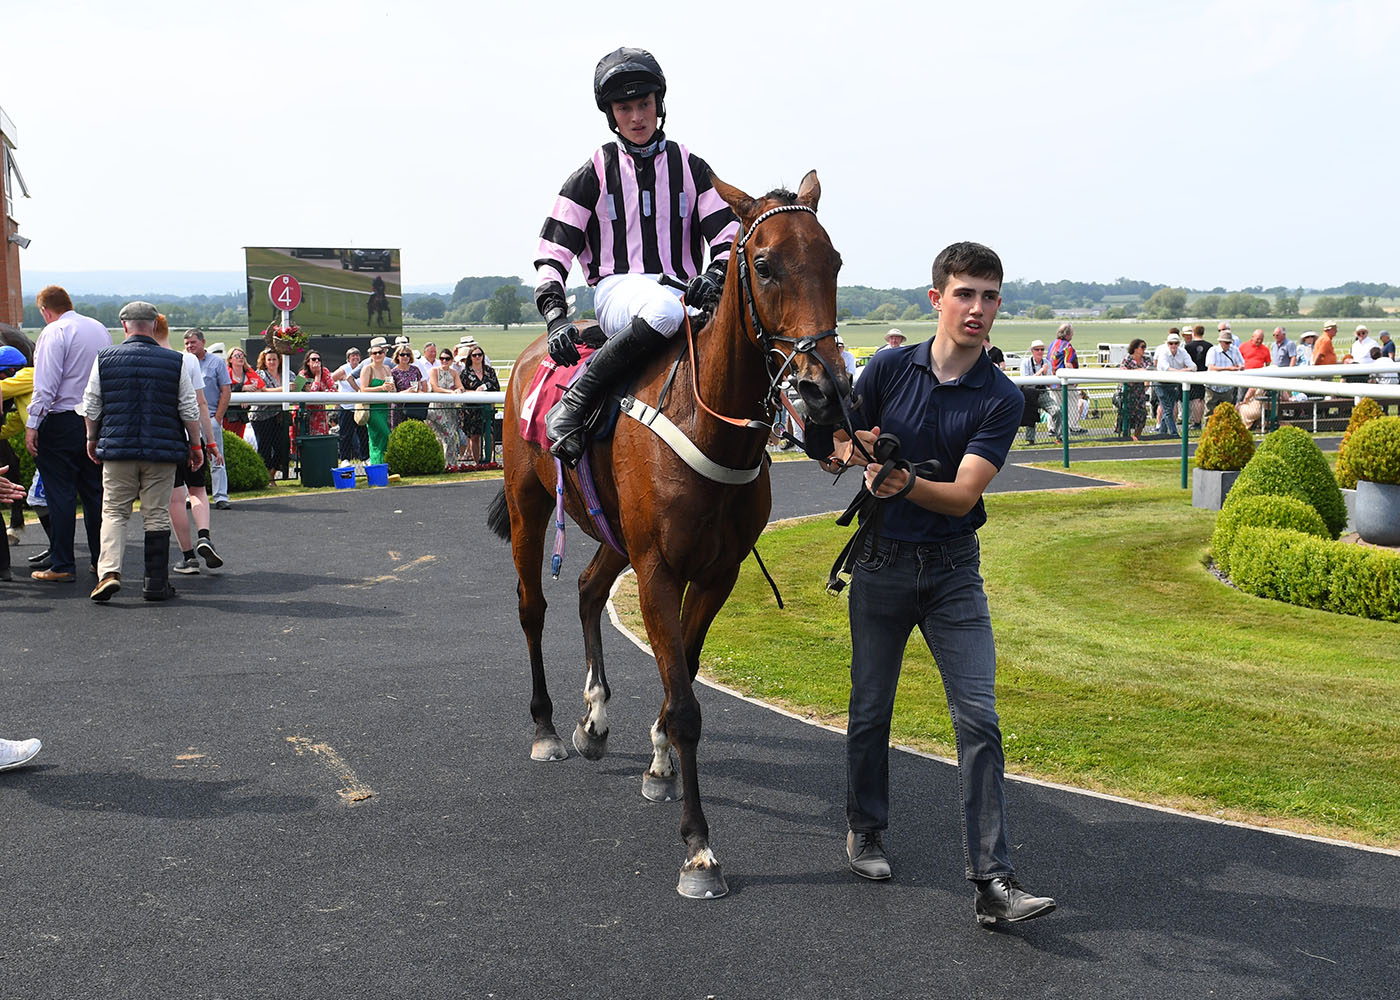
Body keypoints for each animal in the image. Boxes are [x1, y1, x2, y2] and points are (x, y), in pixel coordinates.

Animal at [486, 170, 850, 898]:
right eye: (763, 264)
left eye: (834, 262)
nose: (825, 391)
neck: (705, 419)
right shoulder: (657, 567)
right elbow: (685, 703)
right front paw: (699, 850)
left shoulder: (717, 571)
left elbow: (685, 664)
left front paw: (657, 760)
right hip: (529, 506)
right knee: (533, 606)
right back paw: (547, 726)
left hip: (612, 532)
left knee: (588, 589)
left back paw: (594, 720)